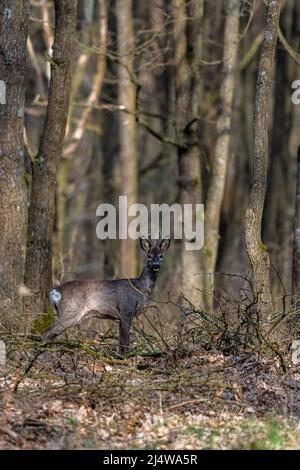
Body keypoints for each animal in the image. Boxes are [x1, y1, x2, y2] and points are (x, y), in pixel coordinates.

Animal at [41, 237, 171, 354]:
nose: (156, 265)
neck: (140, 288)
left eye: (161, 255)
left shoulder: (121, 316)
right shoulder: (126, 310)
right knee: (46, 333)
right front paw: (126, 357)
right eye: (149, 256)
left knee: (51, 335)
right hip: (70, 311)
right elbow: (125, 340)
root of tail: (54, 291)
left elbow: (121, 341)